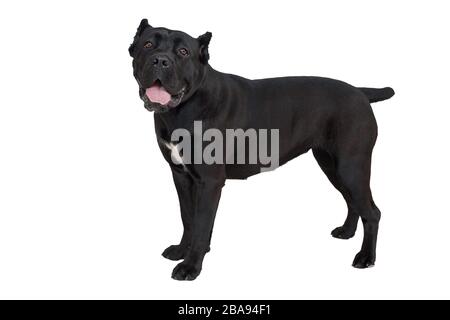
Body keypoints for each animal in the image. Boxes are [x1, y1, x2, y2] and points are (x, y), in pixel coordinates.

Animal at [127, 18, 394, 282]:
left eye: (183, 52)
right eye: (148, 44)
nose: (161, 60)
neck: (184, 109)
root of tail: (360, 92)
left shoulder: (209, 181)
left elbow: (201, 223)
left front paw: (191, 266)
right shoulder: (181, 176)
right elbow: (188, 218)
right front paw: (182, 251)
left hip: (351, 167)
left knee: (372, 211)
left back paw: (365, 257)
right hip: (332, 166)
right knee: (352, 201)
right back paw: (346, 232)